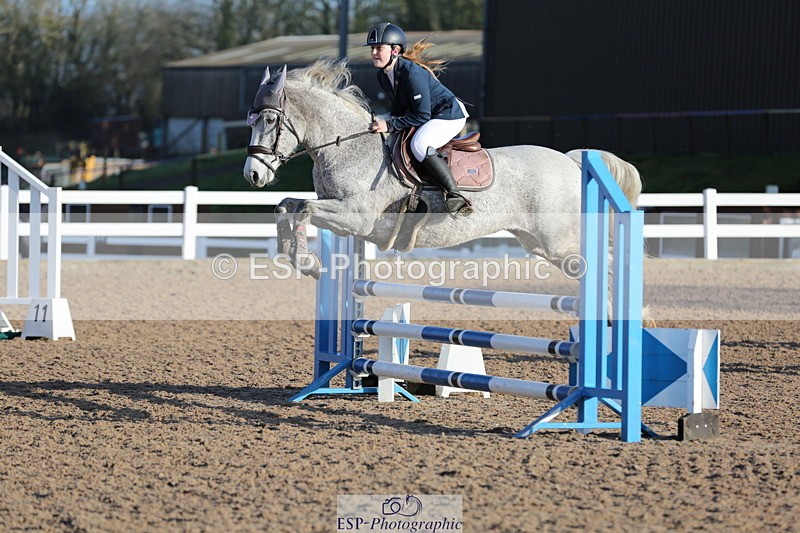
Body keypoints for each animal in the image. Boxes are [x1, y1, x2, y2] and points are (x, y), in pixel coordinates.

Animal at [242, 60, 642, 287]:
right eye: (251, 118)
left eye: (270, 120)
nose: (253, 176)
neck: (348, 145)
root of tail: (572, 162)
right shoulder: (334, 207)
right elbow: (287, 206)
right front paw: (295, 257)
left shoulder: (357, 217)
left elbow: (304, 210)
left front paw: (308, 264)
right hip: (538, 243)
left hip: (560, 242)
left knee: (605, 267)